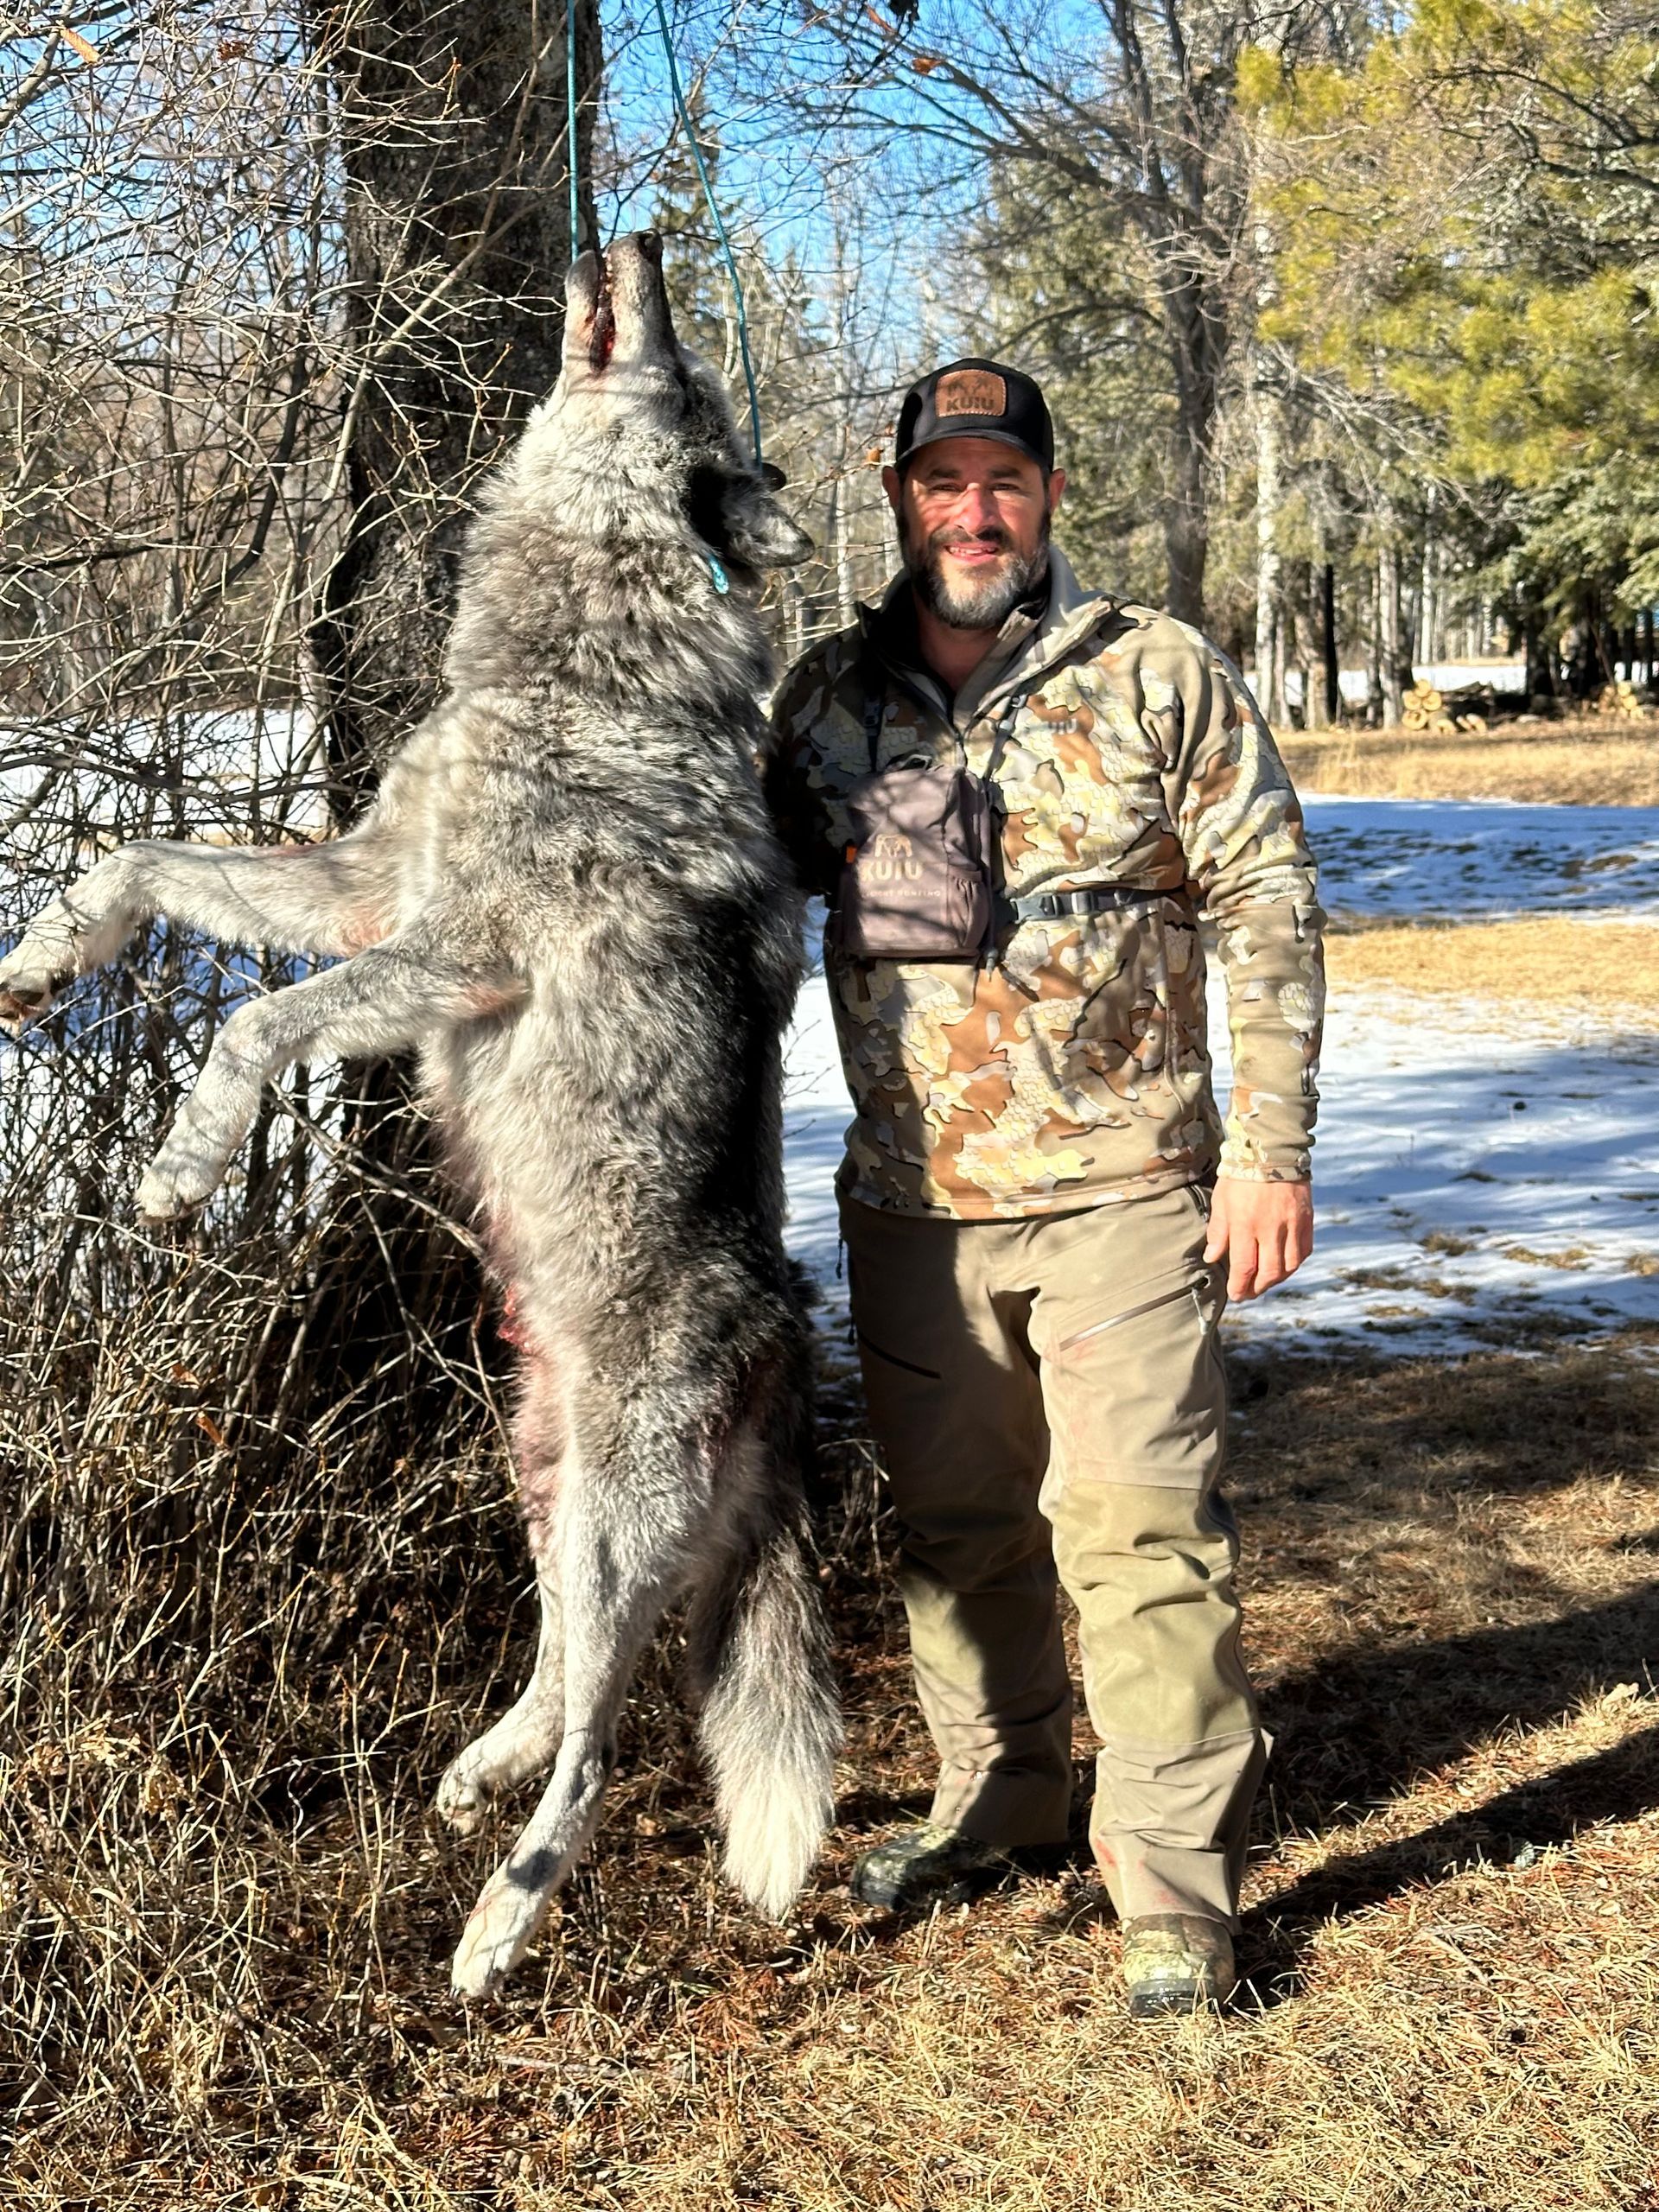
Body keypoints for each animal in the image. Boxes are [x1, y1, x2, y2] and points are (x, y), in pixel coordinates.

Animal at [0, 232, 840, 2001]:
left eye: (685, 375)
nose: (642, 230)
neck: (576, 647)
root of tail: (787, 1343)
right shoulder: (364, 883)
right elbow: (145, 860)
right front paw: (43, 963)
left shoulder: (454, 953)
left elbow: (252, 1021)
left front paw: (177, 1175)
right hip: (539, 1475)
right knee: (561, 1672)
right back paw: (475, 1776)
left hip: (610, 1522)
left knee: (609, 1736)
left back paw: (498, 1927)